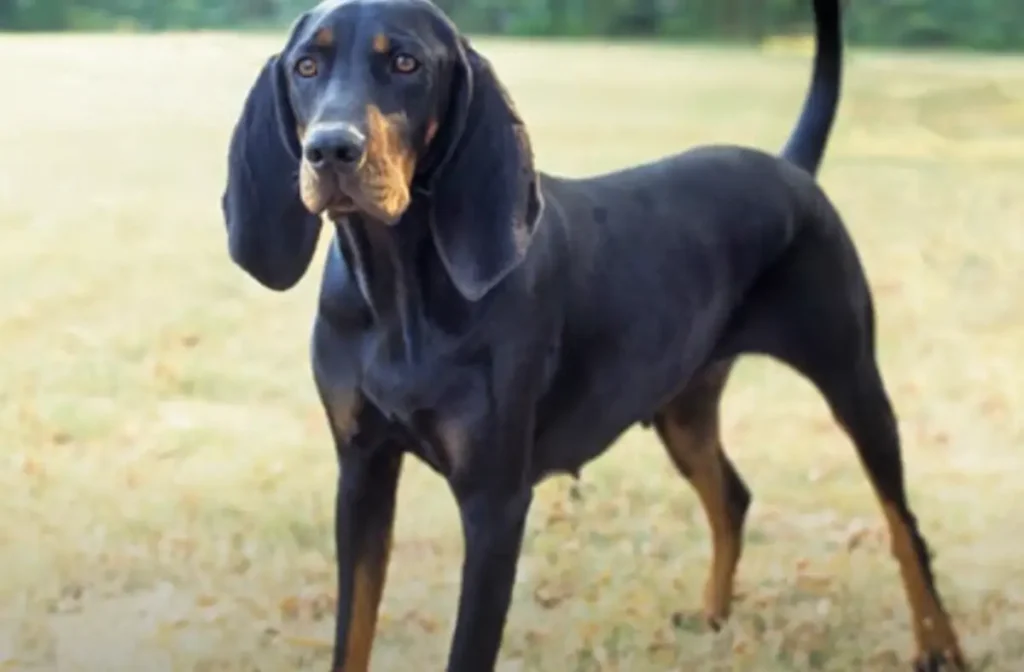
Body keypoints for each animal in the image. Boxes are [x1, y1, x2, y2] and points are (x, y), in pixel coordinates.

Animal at [220, 0, 962, 667]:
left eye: (405, 63)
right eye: (307, 65)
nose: (330, 149)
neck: (400, 292)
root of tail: (790, 168)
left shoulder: (494, 502)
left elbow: (468, 646)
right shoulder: (362, 471)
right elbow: (353, 632)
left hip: (851, 378)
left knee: (904, 524)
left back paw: (939, 645)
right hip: (683, 406)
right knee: (732, 496)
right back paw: (714, 616)